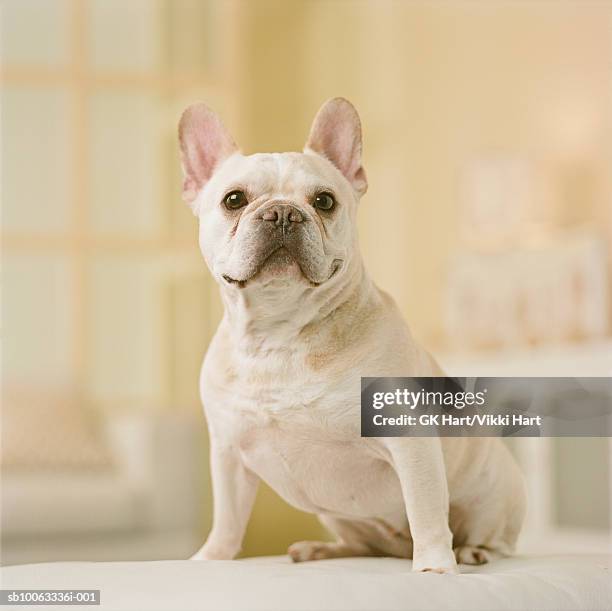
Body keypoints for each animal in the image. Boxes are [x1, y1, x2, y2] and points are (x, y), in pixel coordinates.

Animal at [178, 97, 524, 572]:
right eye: (234, 199)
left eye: (324, 201)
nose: (282, 212)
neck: (280, 333)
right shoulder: (228, 455)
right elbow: (228, 518)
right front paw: (211, 558)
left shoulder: (409, 439)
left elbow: (426, 511)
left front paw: (435, 567)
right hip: (340, 517)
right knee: (363, 545)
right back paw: (322, 549)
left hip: (496, 491)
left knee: (492, 535)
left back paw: (472, 552)